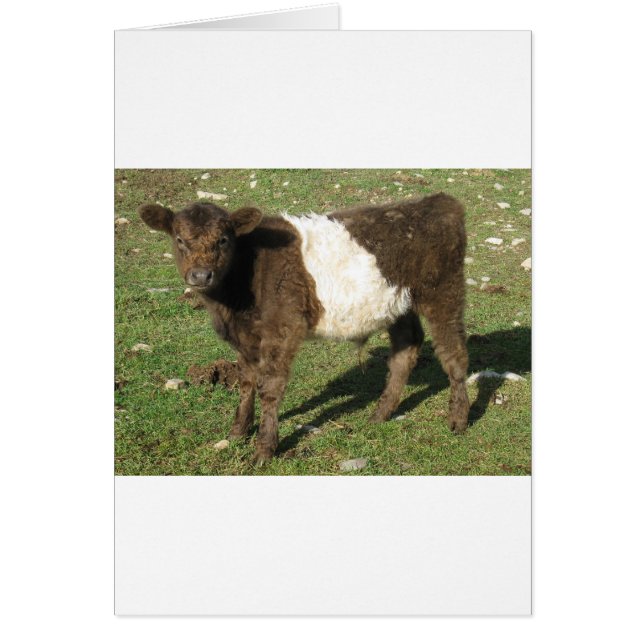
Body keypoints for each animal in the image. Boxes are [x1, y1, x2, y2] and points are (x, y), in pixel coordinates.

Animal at [138, 193, 470, 465]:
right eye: (179, 239)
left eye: (223, 240)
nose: (200, 275)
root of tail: (438, 201)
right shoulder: (246, 339)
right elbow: (246, 383)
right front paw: (237, 433)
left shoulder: (282, 329)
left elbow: (270, 388)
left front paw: (264, 450)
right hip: (398, 303)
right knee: (406, 349)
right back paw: (379, 415)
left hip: (444, 292)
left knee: (454, 352)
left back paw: (458, 420)